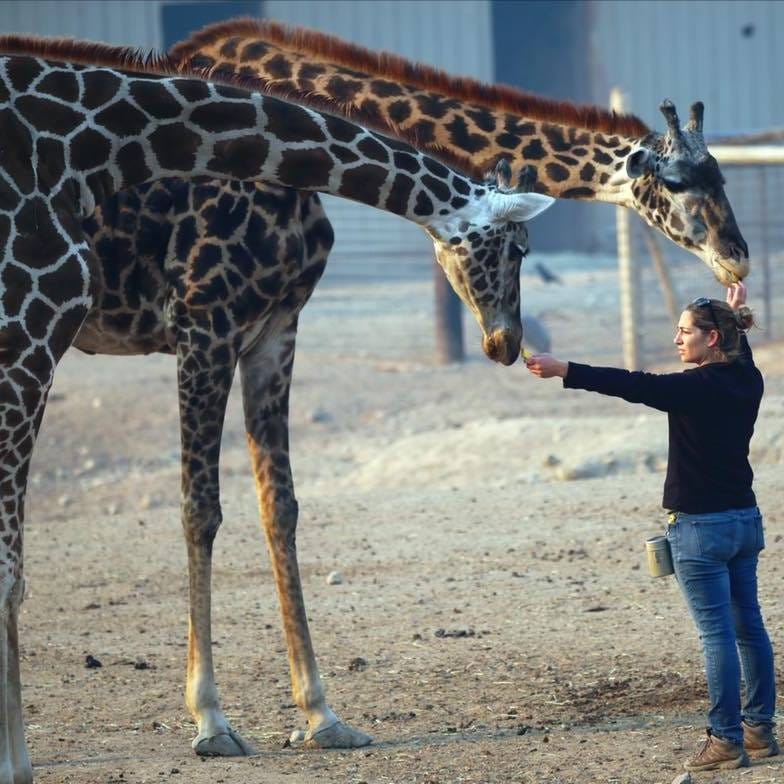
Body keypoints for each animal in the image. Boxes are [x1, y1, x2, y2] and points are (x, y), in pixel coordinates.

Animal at [0, 33, 556, 780]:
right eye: (518, 248)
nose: (506, 342)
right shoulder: (201, 326)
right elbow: (199, 510)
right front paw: (210, 719)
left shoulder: (274, 330)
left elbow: (281, 509)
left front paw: (322, 714)